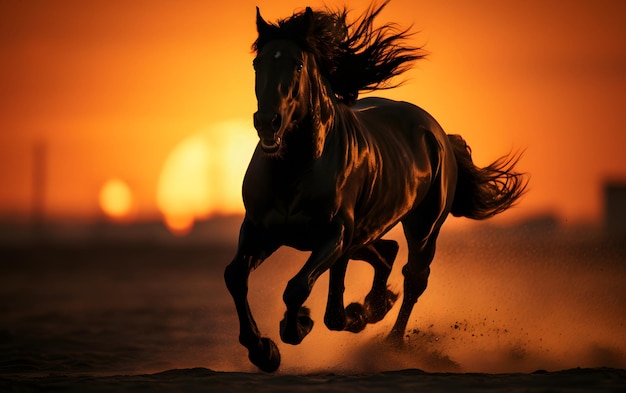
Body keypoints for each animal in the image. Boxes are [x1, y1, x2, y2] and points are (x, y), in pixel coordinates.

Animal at [222, 1, 524, 372]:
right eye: (258, 62)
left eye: (297, 64)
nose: (267, 122)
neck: (295, 169)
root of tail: (436, 132)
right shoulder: (260, 229)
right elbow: (236, 276)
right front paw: (263, 350)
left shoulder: (334, 234)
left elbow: (298, 288)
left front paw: (295, 328)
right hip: (364, 233)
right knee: (386, 253)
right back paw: (371, 307)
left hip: (422, 227)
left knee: (413, 277)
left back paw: (389, 341)